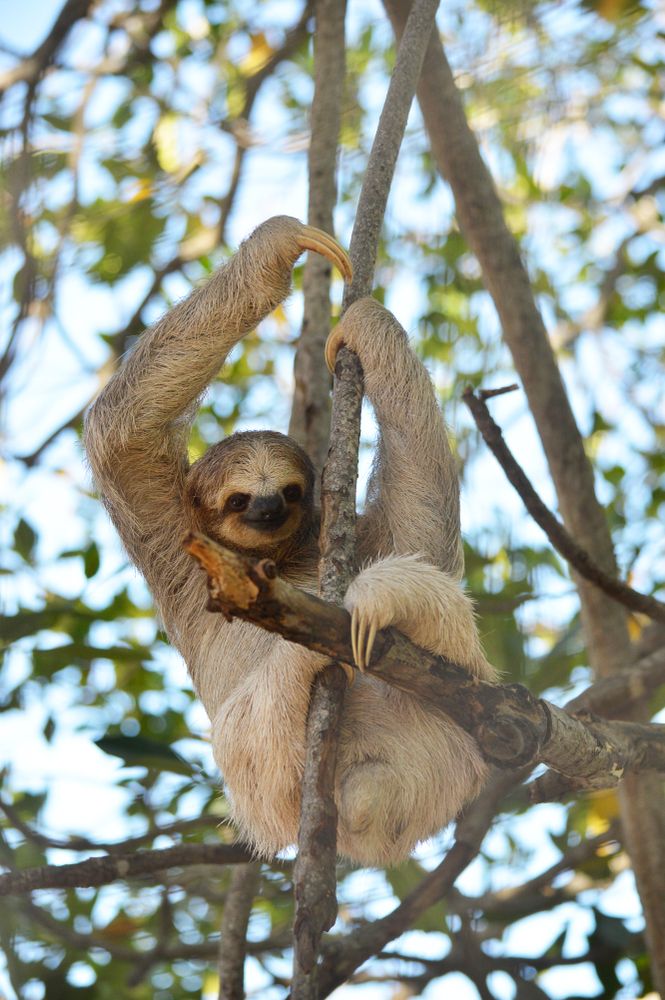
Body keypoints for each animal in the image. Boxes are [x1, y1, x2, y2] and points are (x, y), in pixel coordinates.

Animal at [84, 215, 496, 867]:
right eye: (237, 500)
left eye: (292, 490)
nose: (269, 506)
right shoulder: (168, 537)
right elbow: (120, 430)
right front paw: (280, 241)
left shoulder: (363, 534)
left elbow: (424, 528)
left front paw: (368, 323)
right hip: (259, 787)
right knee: (247, 731)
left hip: (443, 741)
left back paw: (385, 606)